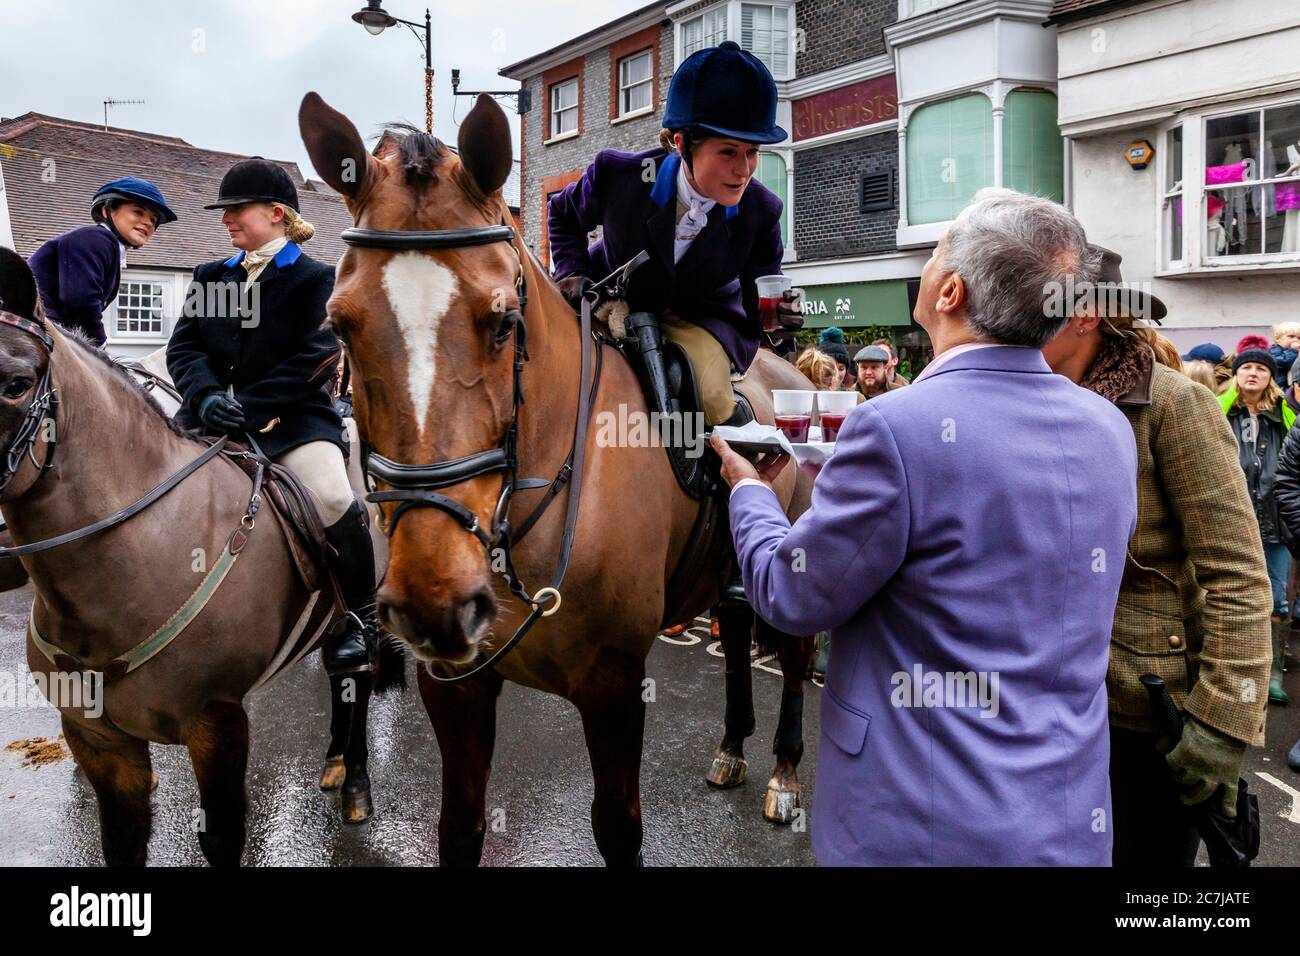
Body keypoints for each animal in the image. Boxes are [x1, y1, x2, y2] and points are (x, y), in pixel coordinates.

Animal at [0, 248, 395, 868]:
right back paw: (334, 762)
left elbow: (222, 835)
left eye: (16, 384)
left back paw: (355, 782)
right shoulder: (97, 738)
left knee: (363, 665)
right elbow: (121, 838)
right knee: (342, 675)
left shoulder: (217, 722)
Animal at [300, 91, 816, 868]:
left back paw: (784, 772)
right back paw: (730, 747)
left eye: (503, 322)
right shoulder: (454, 685)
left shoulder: (613, 687)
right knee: (733, 623)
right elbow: (461, 829)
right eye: (340, 324)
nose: (433, 601)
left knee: (793, 649)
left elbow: (619, 829)